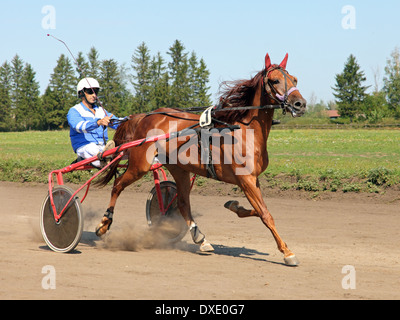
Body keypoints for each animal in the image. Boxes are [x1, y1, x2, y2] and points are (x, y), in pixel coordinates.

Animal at [96, 53, 306, 266]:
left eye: (295, 79)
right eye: (275, 80)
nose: (300, 104)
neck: (244, 131)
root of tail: (144, 116)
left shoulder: (253, 179)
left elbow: (257, 210)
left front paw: (234, 205)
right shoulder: (245, 180)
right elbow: (265, 214)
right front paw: (287, 252)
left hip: (179, 168)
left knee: (182, 203)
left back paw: (200, 238)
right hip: (140, 165)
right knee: (117, 186)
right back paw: (104, 224)